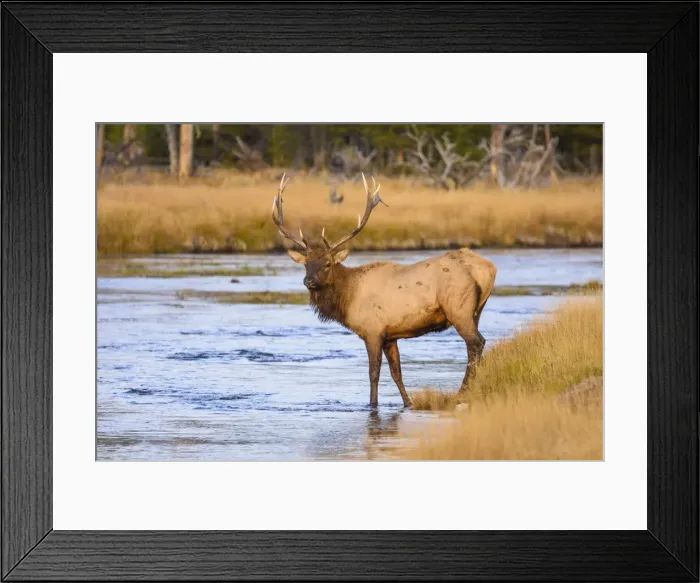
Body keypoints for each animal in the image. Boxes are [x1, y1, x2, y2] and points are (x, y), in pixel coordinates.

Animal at [272, 174, 497, 408]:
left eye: (327, 264)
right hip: (476, 311)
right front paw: (407, 403)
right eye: (306, 264)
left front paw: (372, 404)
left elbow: (374, 373)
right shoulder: (391, 336)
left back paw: (463, 391)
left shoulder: (372, 330)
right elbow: (396, 372)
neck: (348, 297)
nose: (309, 281)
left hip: (458, 308)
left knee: (476, 343)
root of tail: (488, 268)